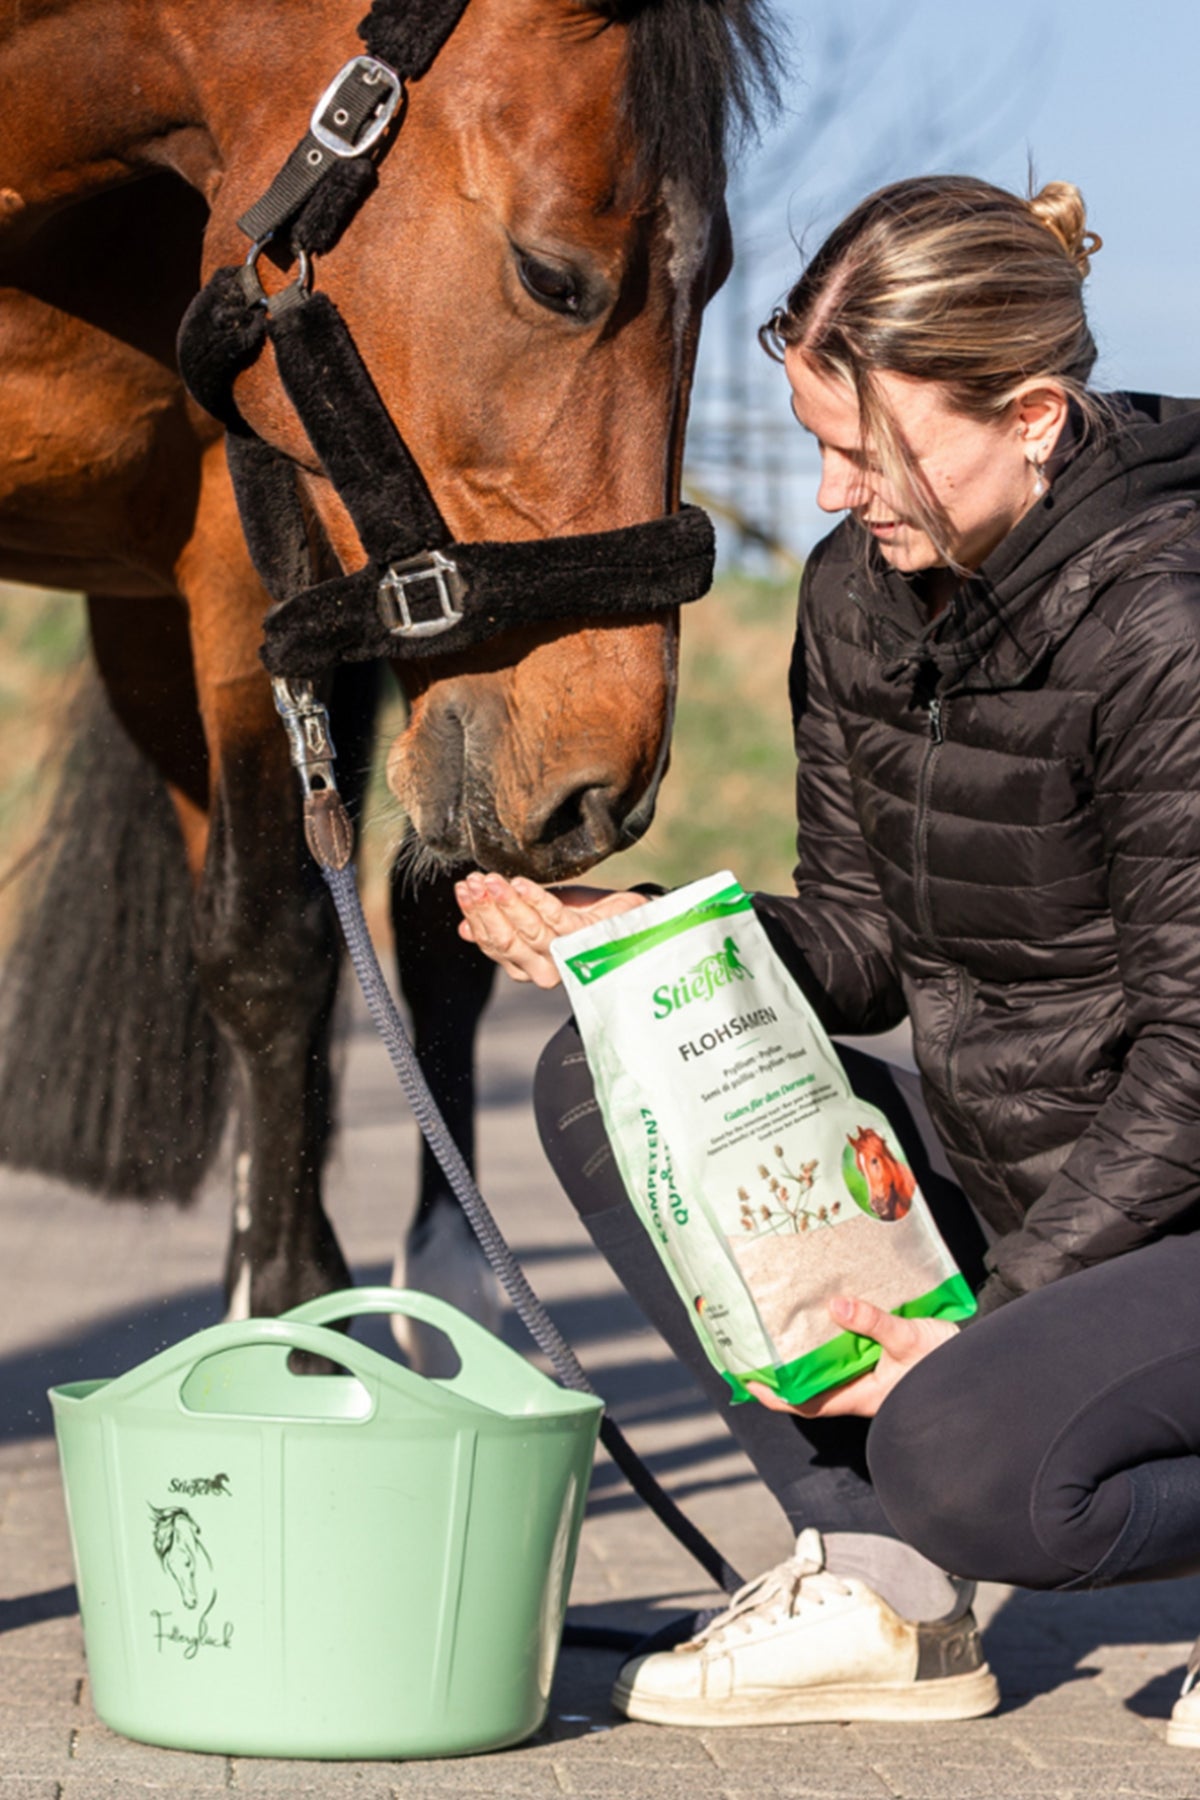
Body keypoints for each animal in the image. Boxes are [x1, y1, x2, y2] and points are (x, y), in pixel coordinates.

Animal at [0, 0, 778, 1357]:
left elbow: (305, 942)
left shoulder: (252, 533)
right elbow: (270, 949)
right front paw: (286, 1324)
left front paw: (303, 1320)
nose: (607, 788)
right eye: (551, 277)